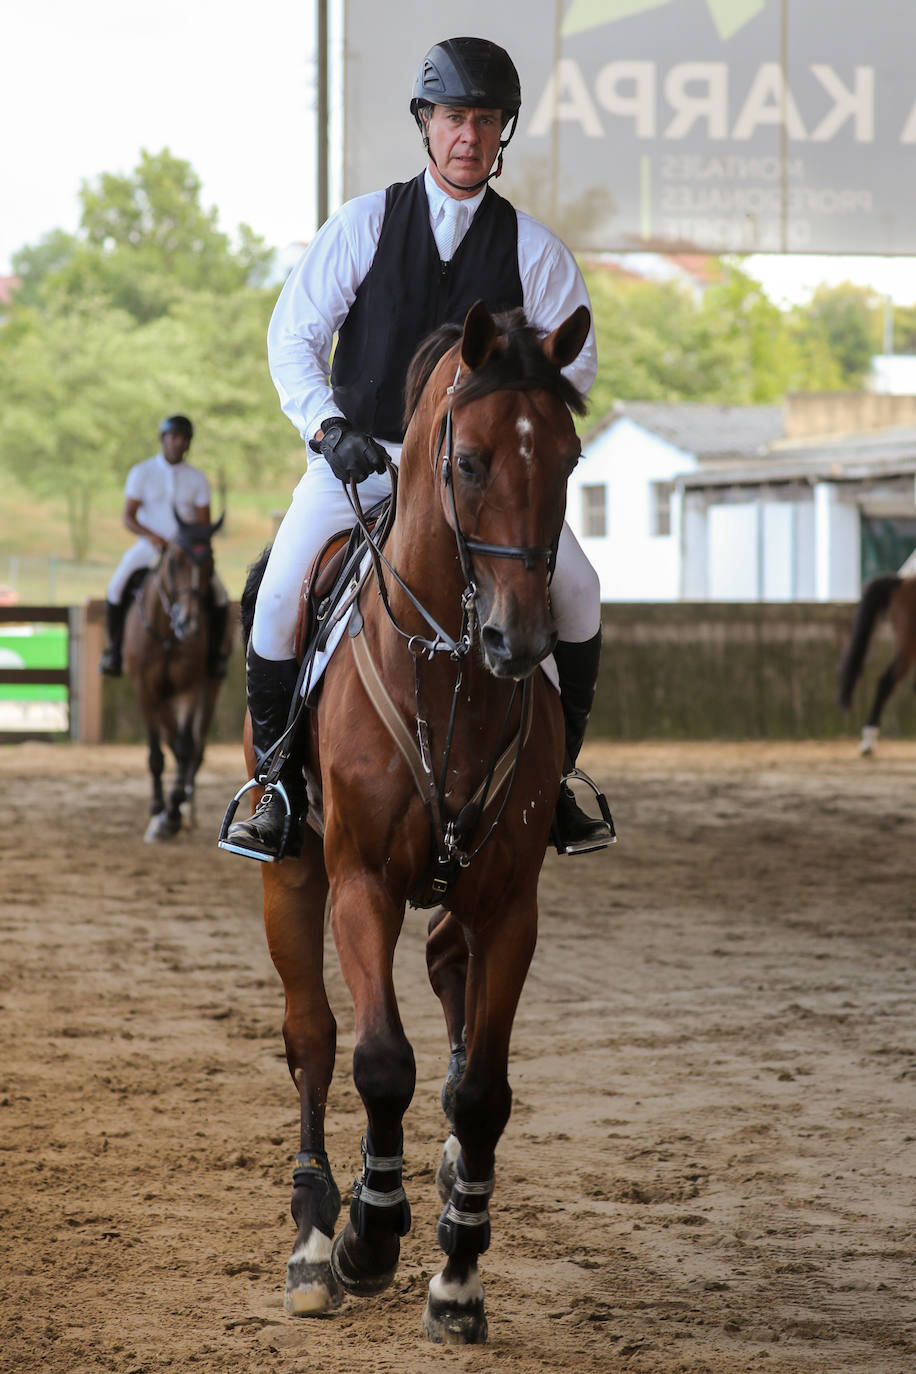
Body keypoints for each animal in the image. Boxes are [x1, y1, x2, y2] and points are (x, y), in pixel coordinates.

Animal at [123, 513, 229, 835]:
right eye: (174, 561)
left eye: (210, 564)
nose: (189, 623)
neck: (167, 634)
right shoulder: (144, 688)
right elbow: (157, 754)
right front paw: (159, 808)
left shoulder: (190, 686)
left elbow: (185, 746)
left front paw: (174, 807)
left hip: (210, 687)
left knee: (196, 747)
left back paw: (184, 810)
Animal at [240, 300, 590, 1341]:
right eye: (469, 461)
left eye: (570, 459)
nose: (519, 640)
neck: (450, 671)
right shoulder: (362, 883)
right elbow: (380, 1062)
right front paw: (369, 1236)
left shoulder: (509, 904)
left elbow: (481, 1093)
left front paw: (458, 1275)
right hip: (293, 874)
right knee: (313, 1037)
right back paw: (316, 1233)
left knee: (444, 987)